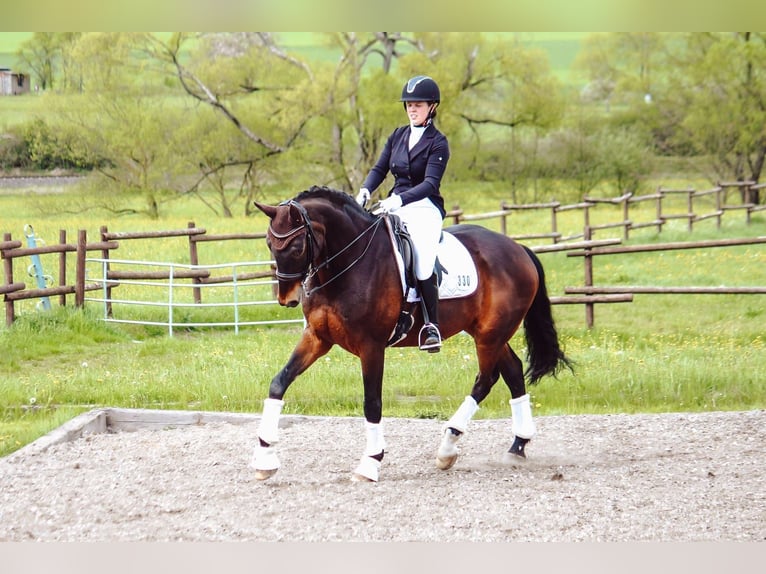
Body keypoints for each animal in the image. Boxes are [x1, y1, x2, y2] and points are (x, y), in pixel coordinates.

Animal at [250, 187, 568, 484]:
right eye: (269, 243)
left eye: (296, 247)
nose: (287, 299)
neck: (347, 262)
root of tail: (517, 247)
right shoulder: (317, 338)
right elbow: (279, 383)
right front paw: (265, 458)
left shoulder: (371, 346)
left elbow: (372, 402)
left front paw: (370, 462)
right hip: (487, 333)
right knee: (512, 371)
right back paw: (517, 446)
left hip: (490, 335)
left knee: (486, 379)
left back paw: (448, 446)